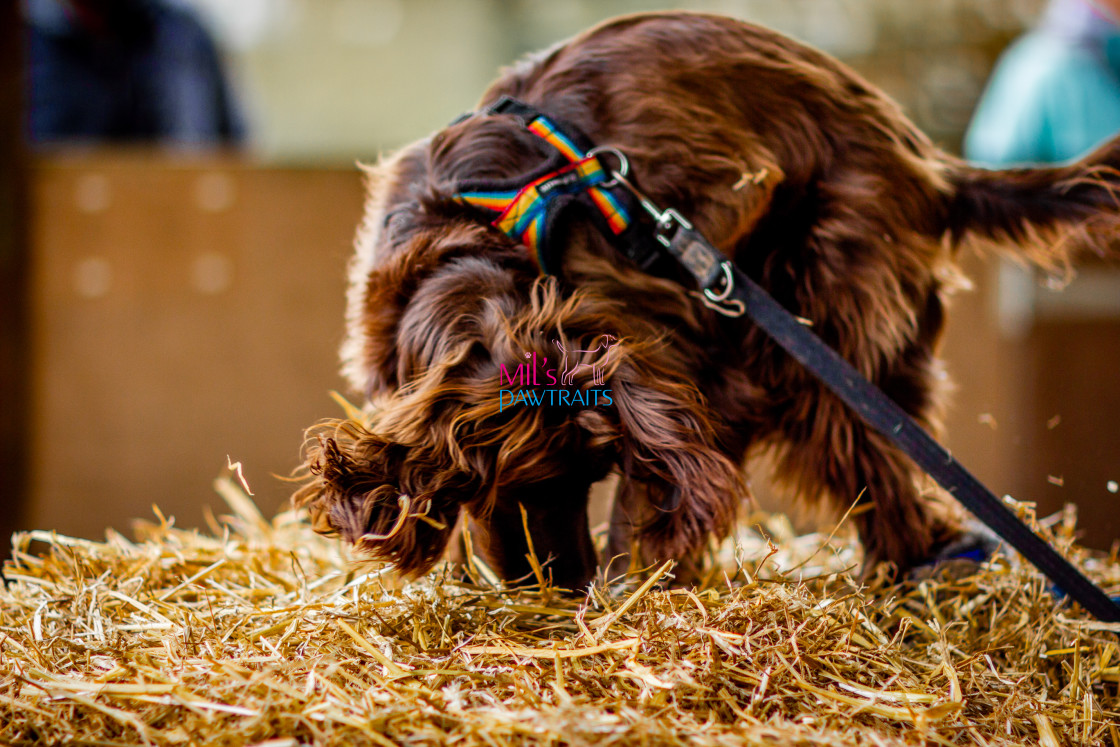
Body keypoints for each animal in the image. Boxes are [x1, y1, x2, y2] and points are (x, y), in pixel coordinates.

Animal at [295, 8, 1120, 586]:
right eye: (518, 483)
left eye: (582, 478)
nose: (560, 586)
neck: (472, 238)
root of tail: (930, 164)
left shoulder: (680, 353)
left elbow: (661, 480)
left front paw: (634, 574)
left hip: (821, 302)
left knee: (873, 453)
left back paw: (915, 561)